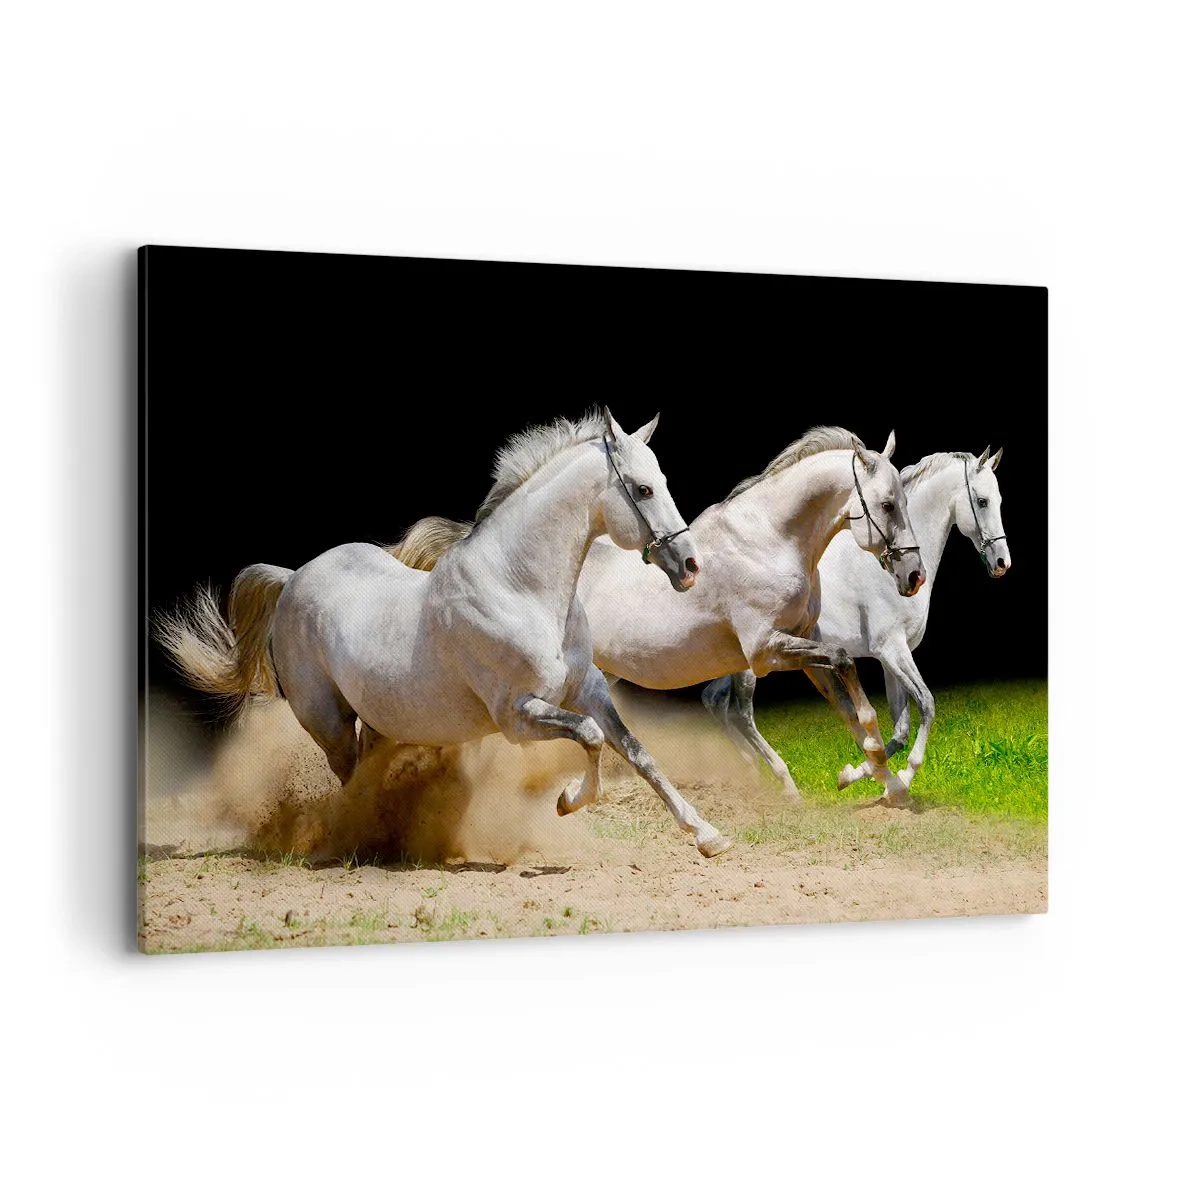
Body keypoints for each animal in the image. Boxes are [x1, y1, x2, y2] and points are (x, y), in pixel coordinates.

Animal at [156, 408, 735, 859]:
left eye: (663, 481)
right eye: (643, 488)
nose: (690, 566)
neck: (520, 589)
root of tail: (293, 577)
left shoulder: (587, 689)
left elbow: (637, 752)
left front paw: (708, 836)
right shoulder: (517, 716)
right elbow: (591, 739)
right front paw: (568, 800)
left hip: (382, 720)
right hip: (329, 722)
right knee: (349, 780)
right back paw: (356, 842)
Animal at [393, 427, 926, 805]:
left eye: (904, 499)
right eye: (887, 503)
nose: (914, 575)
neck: (770, 541)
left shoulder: (802, 642)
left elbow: (851, 704)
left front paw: (886, 783)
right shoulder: (765, 651)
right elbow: (847, 667)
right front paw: (873, 771)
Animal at [703, 446, 1009, 793]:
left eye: (998, 500)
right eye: (982, 501)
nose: (1002, 562)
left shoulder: (891, 658)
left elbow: (900, 729)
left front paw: (860, 775)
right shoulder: (893, 650)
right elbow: (926, 705)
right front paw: (901, 775)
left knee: (714, 701)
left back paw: (751, 772)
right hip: (754, 664)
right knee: (741, 714)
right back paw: (783, 780)